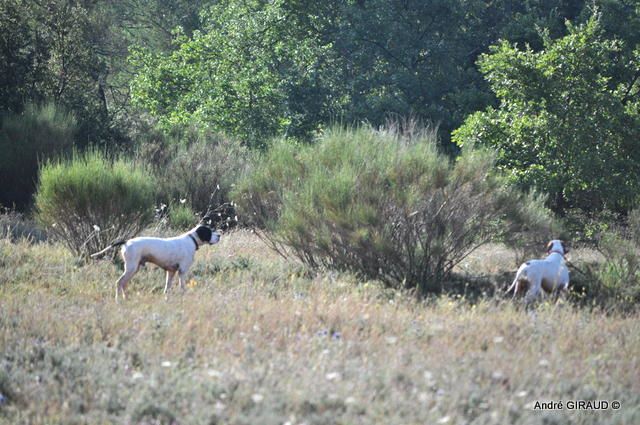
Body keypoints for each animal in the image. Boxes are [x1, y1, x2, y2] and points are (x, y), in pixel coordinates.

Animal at [90, 224, 220, 300]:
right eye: (209, 231)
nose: (219, 235)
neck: (191, 240)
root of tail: (127, 241)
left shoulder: (171, 272)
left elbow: (167, 287)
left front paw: (166, 298)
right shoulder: (182, 271)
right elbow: (182, 286)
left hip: (134, 269)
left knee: (124, 284)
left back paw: (126, 298)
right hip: (131, 268)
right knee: (119, 283)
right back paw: (118, 300)